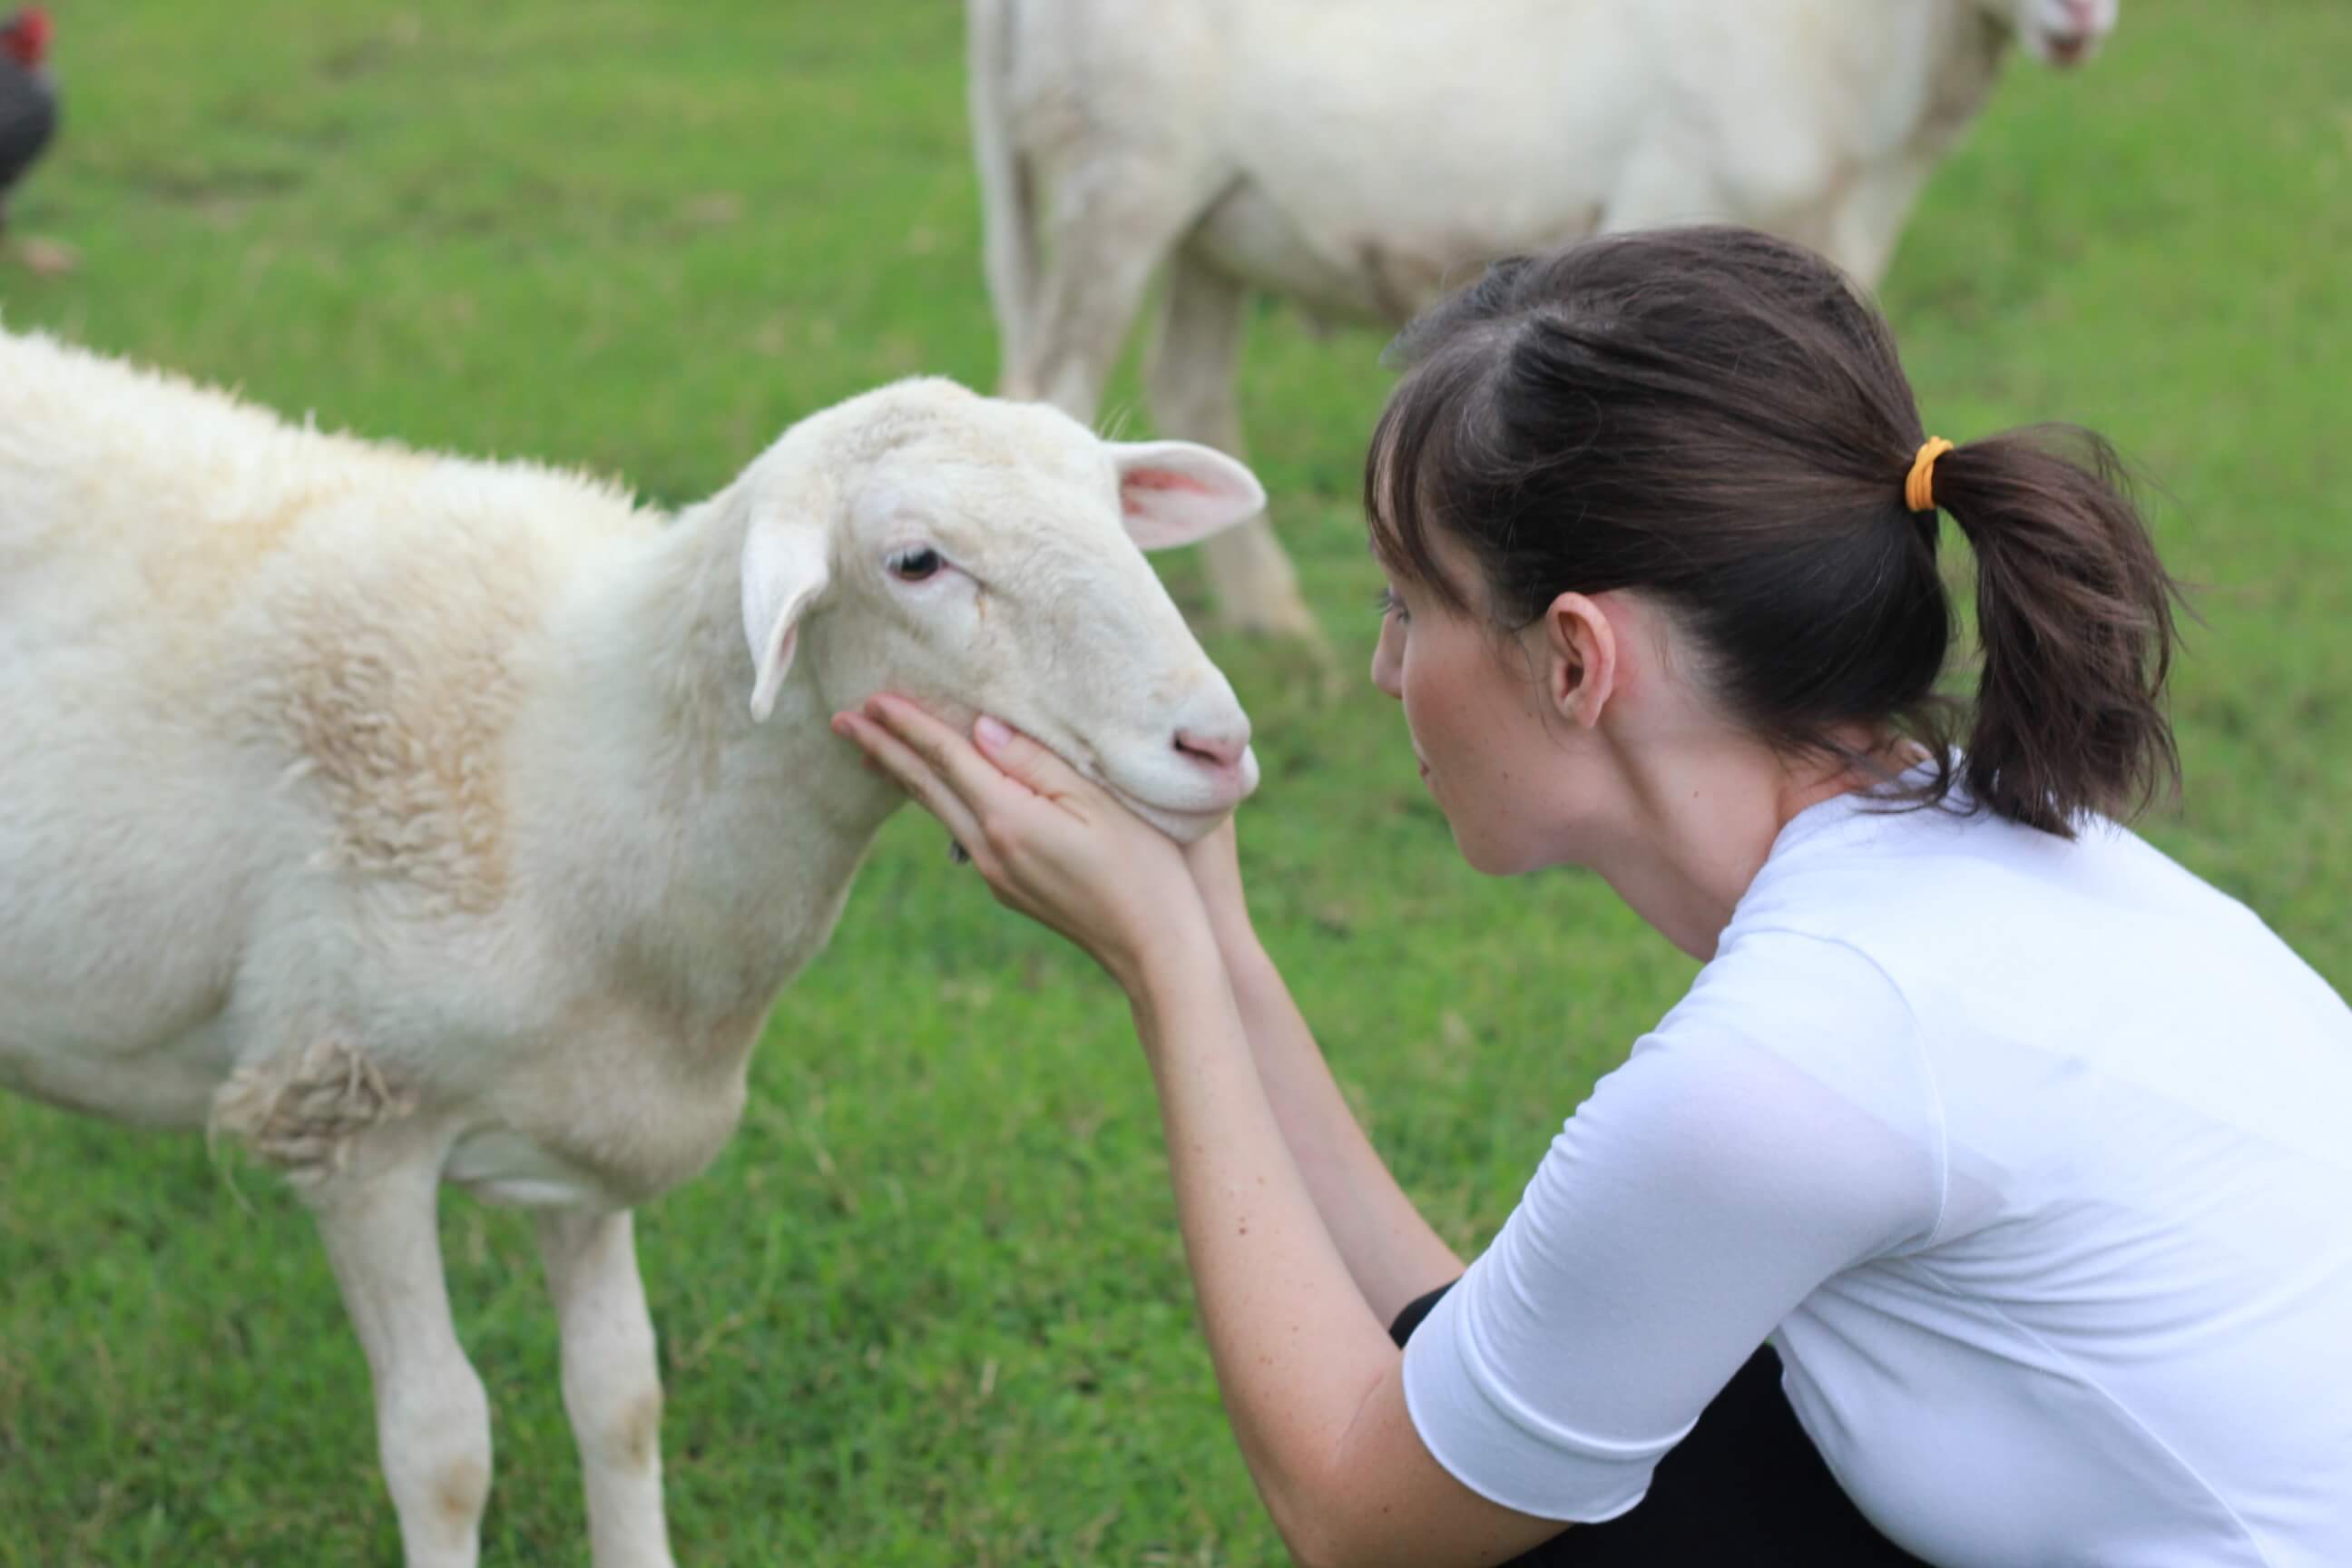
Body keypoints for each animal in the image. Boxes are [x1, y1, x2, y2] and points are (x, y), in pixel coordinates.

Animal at [0, 324, 1269, 1561]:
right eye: (917, 562)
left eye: (1113, 507)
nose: (1215, 743)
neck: (582, 770)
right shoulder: (346, 1112)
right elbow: (442, 1450)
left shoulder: (590, 1126)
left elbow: (620, 1399)